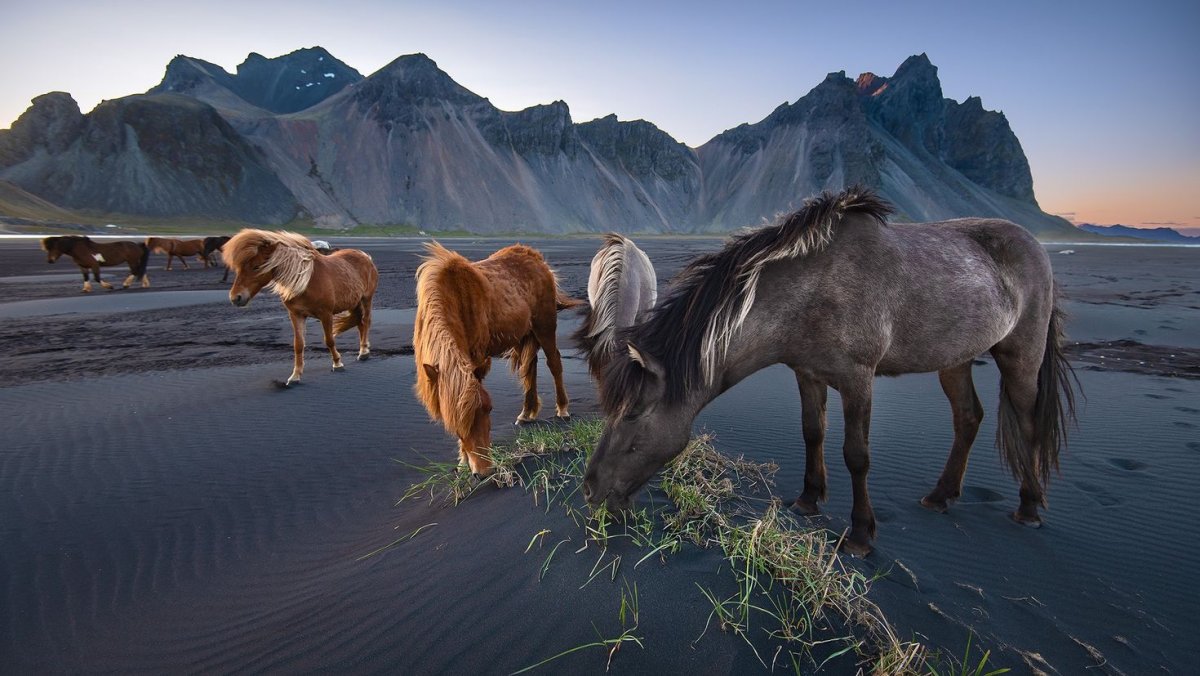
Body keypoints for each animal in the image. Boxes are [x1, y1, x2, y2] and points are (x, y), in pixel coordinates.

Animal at [223, 229, 378, 387]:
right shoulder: (296, 315)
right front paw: (295, 376)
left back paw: (364, 352)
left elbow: (329, 340)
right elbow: (298, 344)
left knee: (366, 321)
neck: (306, 281)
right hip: (354, 303)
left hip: (366, 299)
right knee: (360, 324)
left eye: (256, 266)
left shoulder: (326, 314)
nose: (236, 298)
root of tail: (364, 255)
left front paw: (337, 364)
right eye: (239, 268)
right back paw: (363, 350)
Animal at [414, 242, 582, 476]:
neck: (454, 298)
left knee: (554, 362)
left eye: (489, 409)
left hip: (545, 325)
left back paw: (563, 409)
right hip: (525, 333)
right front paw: (463, 461)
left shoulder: (476, 359)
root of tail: (537, 259)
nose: (484, 471)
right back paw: (526, 413)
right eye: (454, 422)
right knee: (531, 368)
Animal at [582, 187, 1077, 557]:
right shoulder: (807, 373)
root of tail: (1034, 245)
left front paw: (860, 534)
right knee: (968, 417)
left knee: (1028, 422)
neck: (814, 290)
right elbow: (812, 432)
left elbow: (856, 455)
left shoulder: (857, 380)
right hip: (954, 359)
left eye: (632, 416)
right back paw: (941, 496)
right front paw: (807, 499)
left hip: (1021, 355)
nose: (590, 490)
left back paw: (1029, 508)